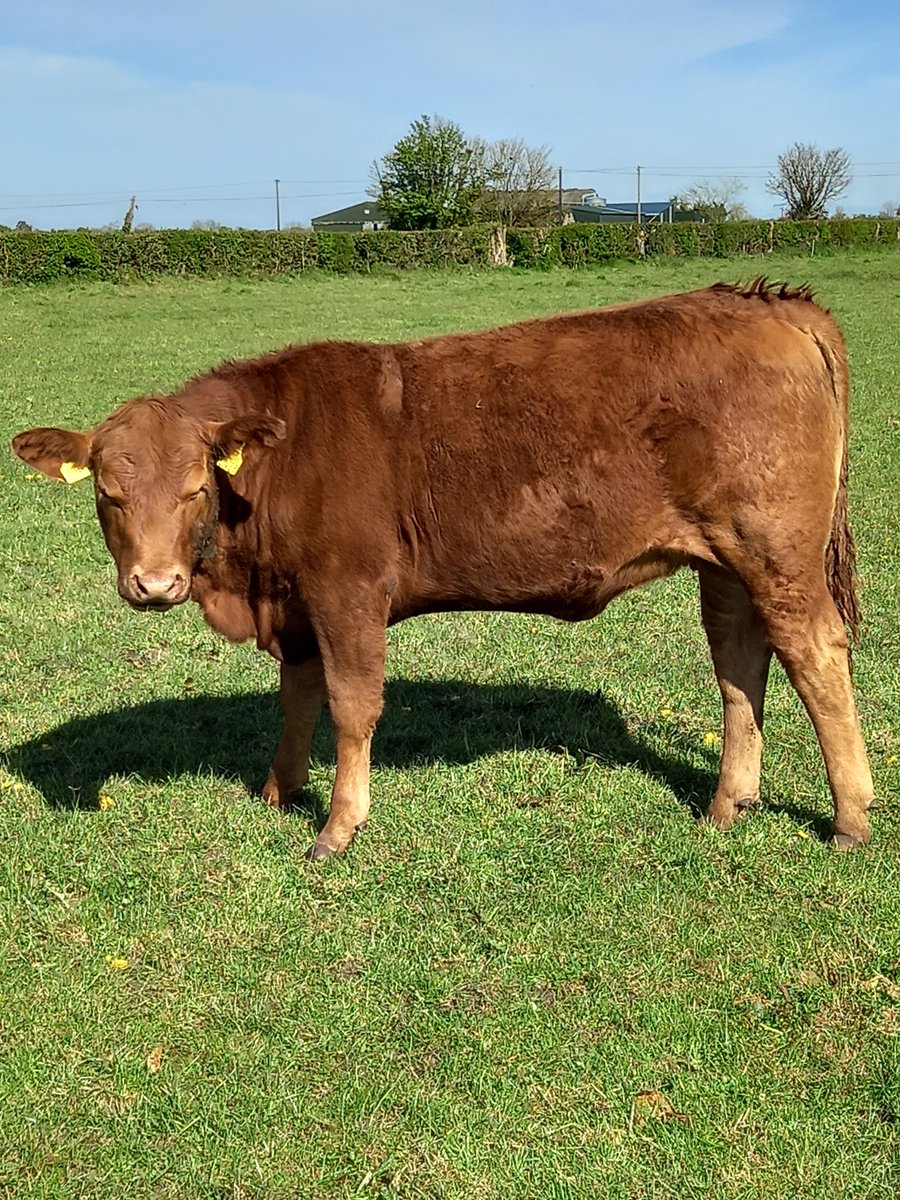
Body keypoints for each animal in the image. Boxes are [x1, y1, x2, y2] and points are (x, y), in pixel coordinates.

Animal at [12, 280, 875, 857]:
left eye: (196, 486)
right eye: (109, 493)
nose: (156, 584)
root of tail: (767, 302)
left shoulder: (348, 592)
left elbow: (351, 707)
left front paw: (337, 827)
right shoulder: (297, 605)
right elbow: (297, 700)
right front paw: (278, 791)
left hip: (777, 553)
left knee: (815, 654)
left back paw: (850, 818)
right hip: (726, 562)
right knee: (740, 663)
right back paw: (728, 804)